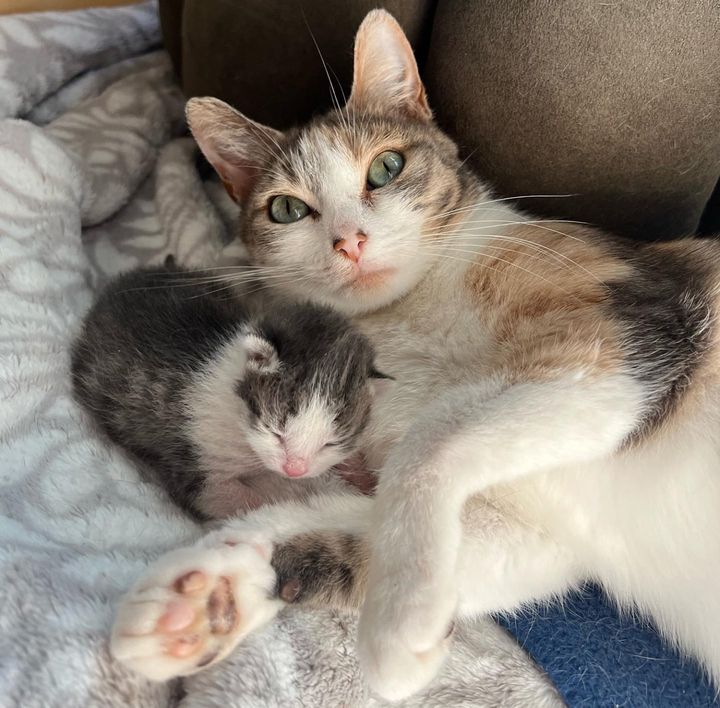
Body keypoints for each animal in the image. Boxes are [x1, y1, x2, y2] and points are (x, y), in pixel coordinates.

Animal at [73, 266, 386, 520]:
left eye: (330, 444)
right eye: (276, 432)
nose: (294, 470)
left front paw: (362, 475)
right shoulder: (196, 464)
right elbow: (240, 501)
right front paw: (304, 499)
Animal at [108, 8, 720, 700]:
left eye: (386, 168)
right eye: (287, 208)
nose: (349, 241)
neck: (409, 317)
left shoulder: (629, 335)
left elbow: (430, 445)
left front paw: (398, 630)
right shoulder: (536, 531)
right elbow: (367, 523)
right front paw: (204, 591)